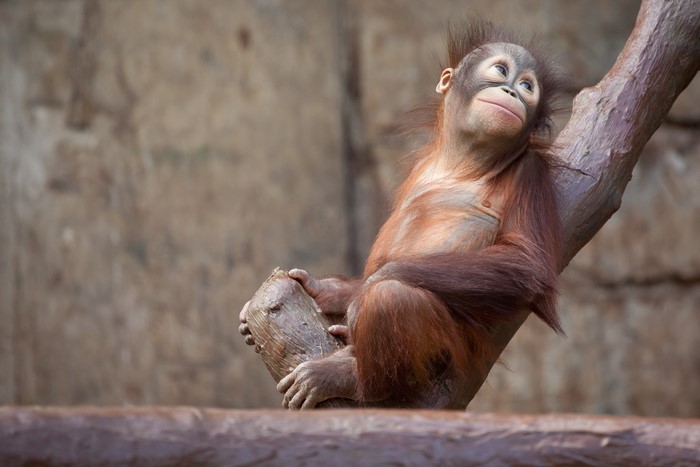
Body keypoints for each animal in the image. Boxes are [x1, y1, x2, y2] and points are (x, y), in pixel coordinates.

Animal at [240, 20, 565, 409]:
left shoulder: (531, 173)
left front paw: (361, 296)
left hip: (450, 354)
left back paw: (350, 377)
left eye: (528, 87)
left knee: (391, 300)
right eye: (501, 71)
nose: (511, 92)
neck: (463, 162)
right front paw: (323, 289)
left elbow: (525, 261)